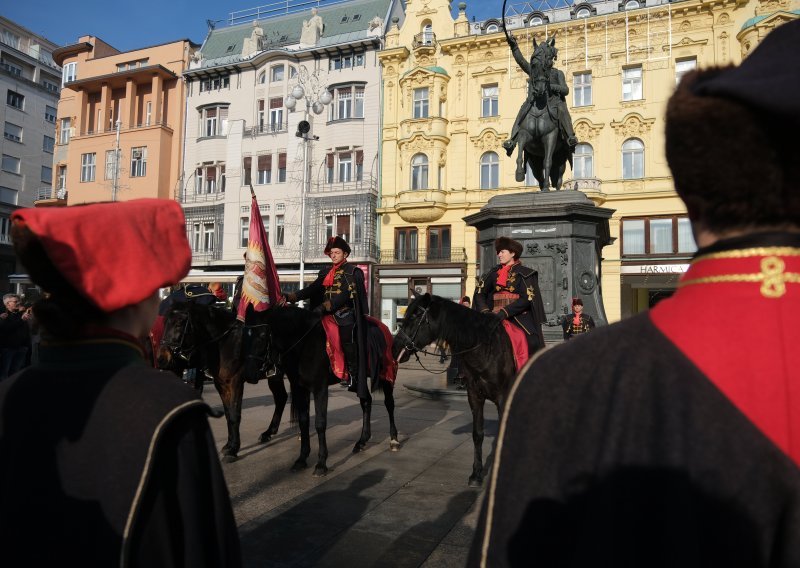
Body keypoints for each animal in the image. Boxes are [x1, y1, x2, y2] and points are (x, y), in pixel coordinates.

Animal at [155, 302, 288, 462]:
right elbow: (228, 414)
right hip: (275, 376)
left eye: (180, 323)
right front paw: (229, 446)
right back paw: (268, 432)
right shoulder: (221, 384)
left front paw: (233, 450)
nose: (161, 359)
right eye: (165, 322)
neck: (224, 343)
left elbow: (235, 414)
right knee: (281, 398)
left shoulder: (235, 382)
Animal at [241, 306, 396, 474]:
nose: (249, 374)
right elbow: (304, 421)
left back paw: (394, 439)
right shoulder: (300, 388)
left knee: (389, 404)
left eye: (263, 335)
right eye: (243, 336)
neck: (303, 343)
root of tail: (383, 327)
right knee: (366, 401)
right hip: (360, 381)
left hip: (387, 374)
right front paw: (302, 459)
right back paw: (361, 441)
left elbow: (320, 423)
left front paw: (321, 463)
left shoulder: (319, 388)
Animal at [394, 296, 520, 486]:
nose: (394, 347)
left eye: (416, 316)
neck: (485, 349)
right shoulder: (474, 396)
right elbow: (478, 434)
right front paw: (476, 474)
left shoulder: (503, 398)